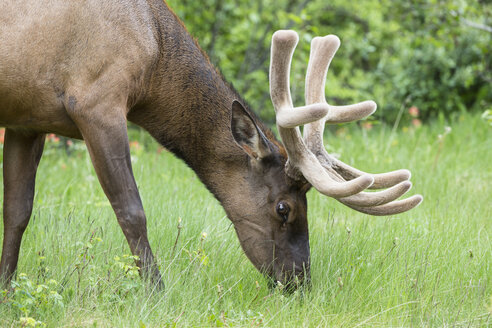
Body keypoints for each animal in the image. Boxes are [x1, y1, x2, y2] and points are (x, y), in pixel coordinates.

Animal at [0, 0, 422, 288]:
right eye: (283, 208)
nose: (298, 280)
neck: (154, 48)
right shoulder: (96, 101)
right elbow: (132, 211)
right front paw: (156, 293)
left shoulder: (28, 121)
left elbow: (17, 212)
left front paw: (7, 289)